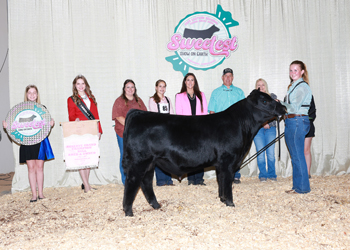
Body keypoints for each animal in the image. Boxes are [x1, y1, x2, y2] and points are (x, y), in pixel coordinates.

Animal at [121, 90, 286, 217]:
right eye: (264, 101)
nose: (284, 107)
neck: (241, 125)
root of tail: (138, 113)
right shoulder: (229, 161)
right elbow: (227, 182)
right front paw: (230, 203)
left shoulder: (221, 164)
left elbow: (221, 181)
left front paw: (222, 199)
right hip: (139, 161)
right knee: (132, 182)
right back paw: (128, 212)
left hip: (150, 163)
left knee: (146, 182)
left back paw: (156, 205)